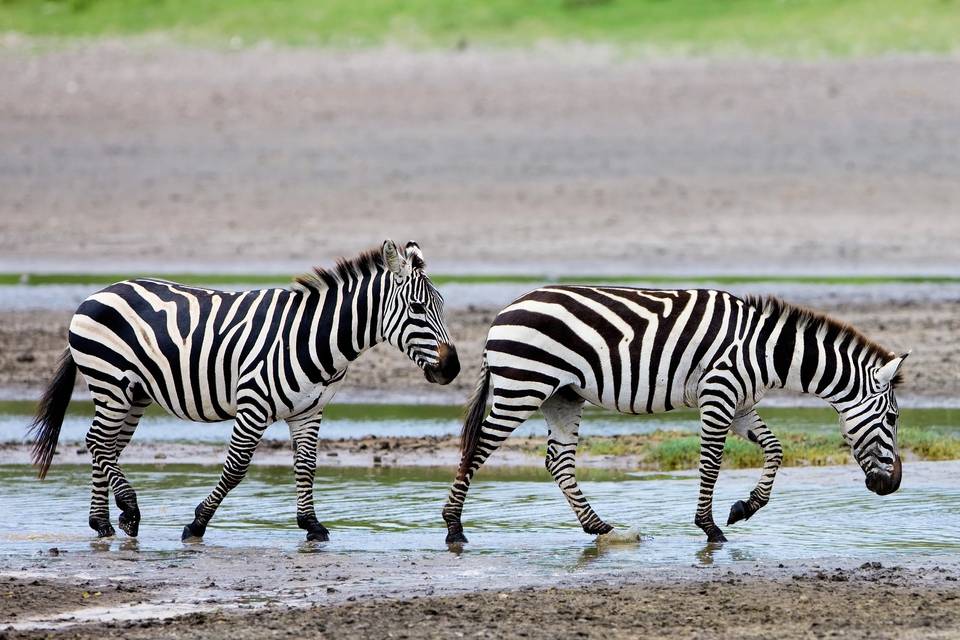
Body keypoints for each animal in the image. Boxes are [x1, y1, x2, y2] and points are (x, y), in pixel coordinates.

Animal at [31, 242, 460, 544]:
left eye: (441, 304)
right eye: (418, 308)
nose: (452, 368)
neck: (316, 338)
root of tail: (99, 293)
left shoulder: (309, 410)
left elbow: (307, 466)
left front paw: (312, 525)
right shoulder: (253, 405)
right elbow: (236, 468)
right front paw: (196, 524)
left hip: (134, 394)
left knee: (106, 447)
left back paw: (104, 521)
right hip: (111, 383)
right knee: (96, 442)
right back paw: (126, 510)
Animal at [442, 290, 908, 544]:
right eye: (891, 420)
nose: (892, 486)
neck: (767, 352)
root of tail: (505, 310)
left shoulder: (741, 404)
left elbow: (775, 449)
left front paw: (745, 507)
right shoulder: (718, 394)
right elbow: (711, 464)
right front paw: (710, 528)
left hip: (562, 396)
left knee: (558, 462)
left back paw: (599, 527)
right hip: (523, 387)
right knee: (476, 448)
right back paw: (454, 528)